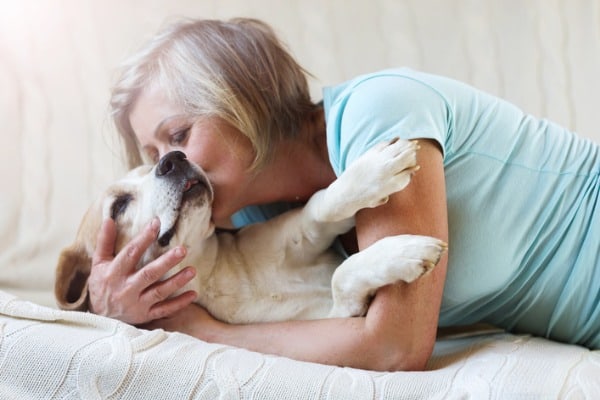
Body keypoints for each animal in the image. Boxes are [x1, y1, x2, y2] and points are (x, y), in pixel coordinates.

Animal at [56, 139, 448, 324]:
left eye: (152, 164)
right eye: (119, 206)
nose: (173, 159)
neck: (213, 272)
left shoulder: (303, 230)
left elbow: (323, 204)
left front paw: (373, 173)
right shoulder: (334, 318)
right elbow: (341, 278)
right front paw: (403, 253)